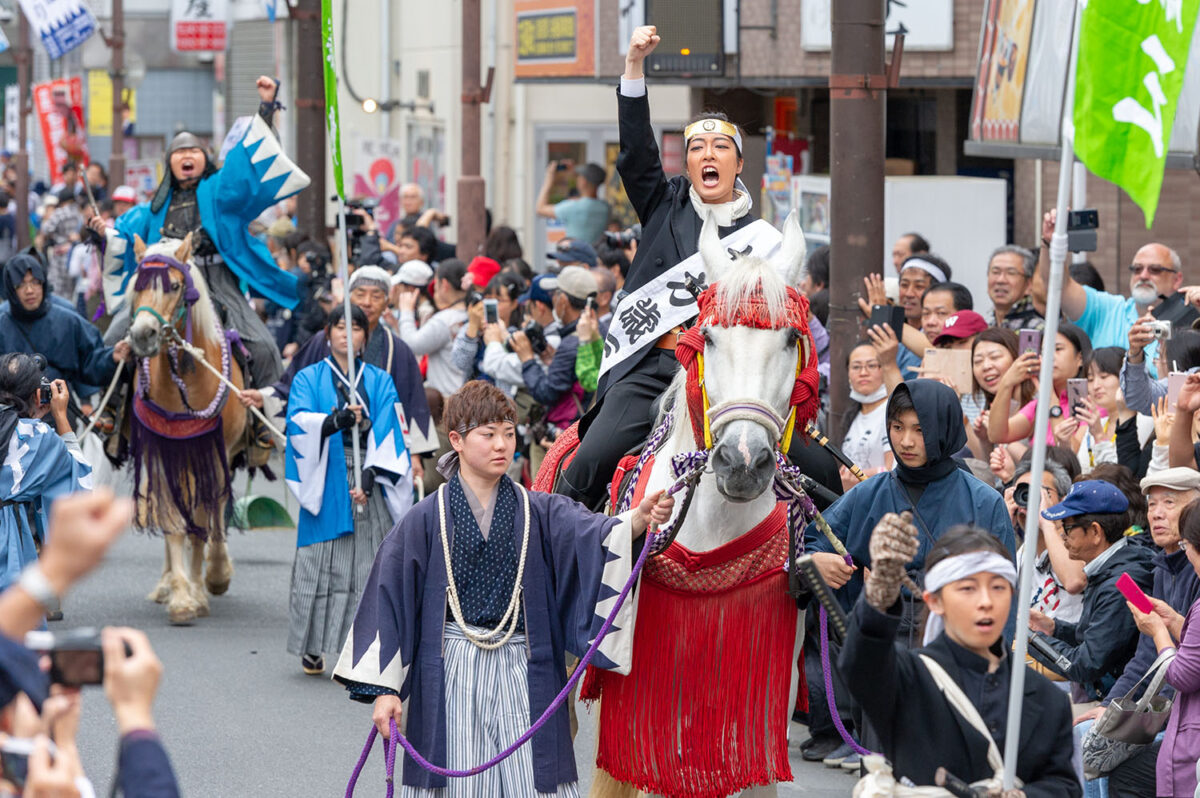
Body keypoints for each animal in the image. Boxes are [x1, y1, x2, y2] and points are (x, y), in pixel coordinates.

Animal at [126, 234, 248, 624]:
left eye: (175, 286)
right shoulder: (165, 450)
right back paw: (167, 584)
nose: (144, 335)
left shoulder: (210, 451)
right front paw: (181, 597)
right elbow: (173, 522)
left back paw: (215, 574)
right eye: (137, 285)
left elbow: (202, 519)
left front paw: (202, 586)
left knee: (215, 510)